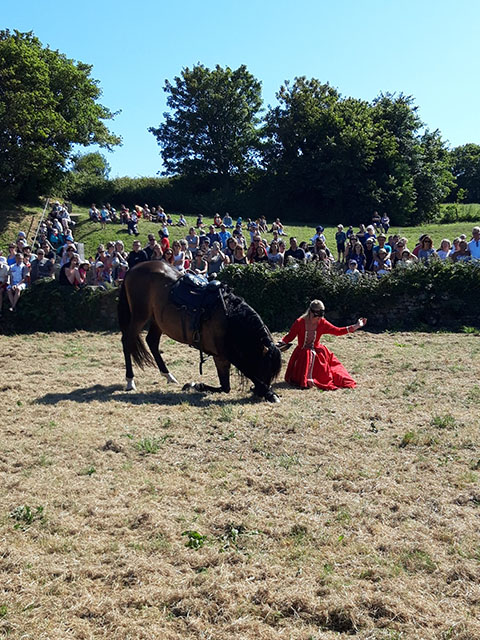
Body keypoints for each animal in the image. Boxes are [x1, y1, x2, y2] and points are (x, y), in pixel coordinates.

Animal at [117, 258, 282, 400]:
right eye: (266, 367)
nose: (258, 392)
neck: (229, 315)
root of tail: (133, 269)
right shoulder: (226, 353)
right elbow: (246, 371)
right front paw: (269, 393)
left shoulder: (219, 356)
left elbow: (225, 387)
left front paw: (194, 385)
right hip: (139, 316)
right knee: (127, 340)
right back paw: (130, 380)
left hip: (158, 320)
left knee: (151, 341)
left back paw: (168, 376)